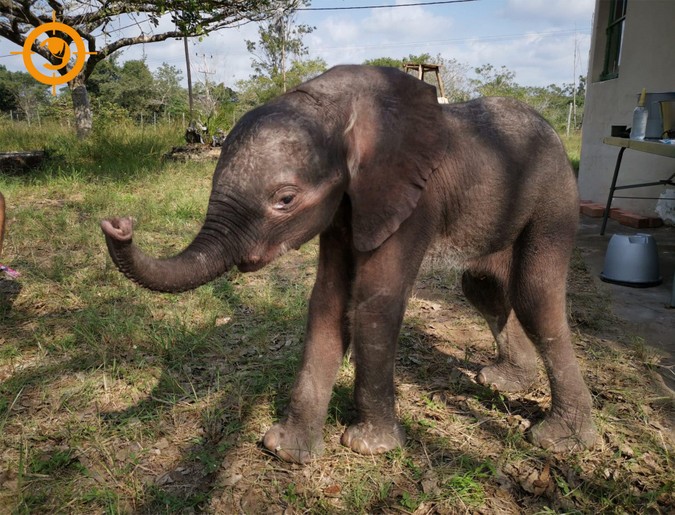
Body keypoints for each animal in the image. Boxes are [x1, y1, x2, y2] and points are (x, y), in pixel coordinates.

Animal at [100, 63, 596, 464]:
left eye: (285, 199)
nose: (118, 223)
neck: (342, 108)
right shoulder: (344, 207)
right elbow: (327, 302)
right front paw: (286, 451)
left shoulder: (413, 199)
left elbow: (375, 304)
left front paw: (368, 447)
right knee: (484, 284)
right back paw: (505, 382)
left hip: (556, 193)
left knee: (534, 294)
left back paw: (560, 440)